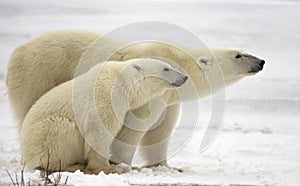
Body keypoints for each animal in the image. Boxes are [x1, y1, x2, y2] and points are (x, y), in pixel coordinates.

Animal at [20, 58, 188, 174]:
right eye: (166, 68)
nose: (185, 77)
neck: (123, 81)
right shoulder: (105, 97)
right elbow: (100, 131)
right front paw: (110, 169)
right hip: (43, 135)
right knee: (62, 129)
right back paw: (72, 165)